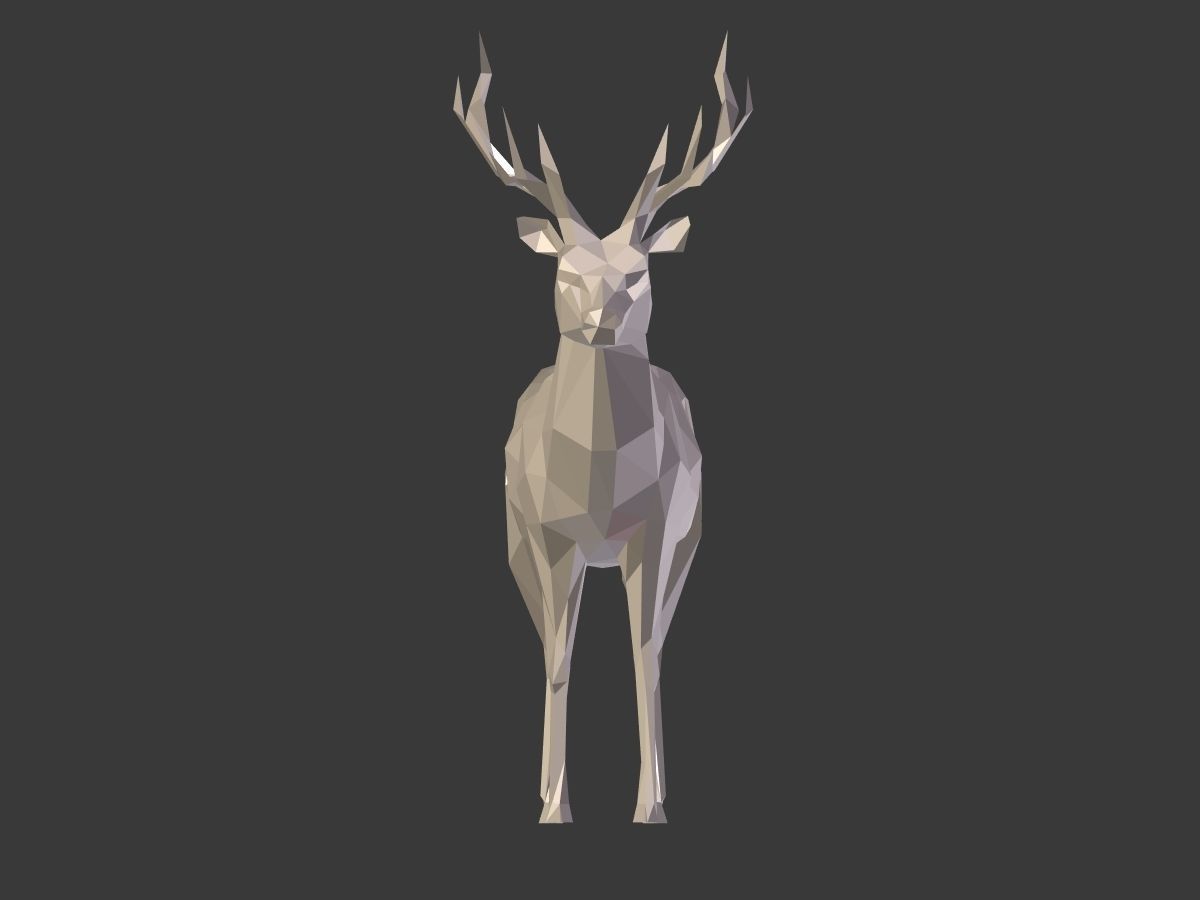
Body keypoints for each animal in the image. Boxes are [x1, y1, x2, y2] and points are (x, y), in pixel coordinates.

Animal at [453, 34, 751, 823]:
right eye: (565, 270)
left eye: (638, 271)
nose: (601, 316)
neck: (598, 482)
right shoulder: (548, 537)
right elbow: (559, 656)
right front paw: (555, 808)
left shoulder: (659, 530)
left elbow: (644, 652)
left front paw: (651, 808)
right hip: (520, 545)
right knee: (550, 640)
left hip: (685, 544)